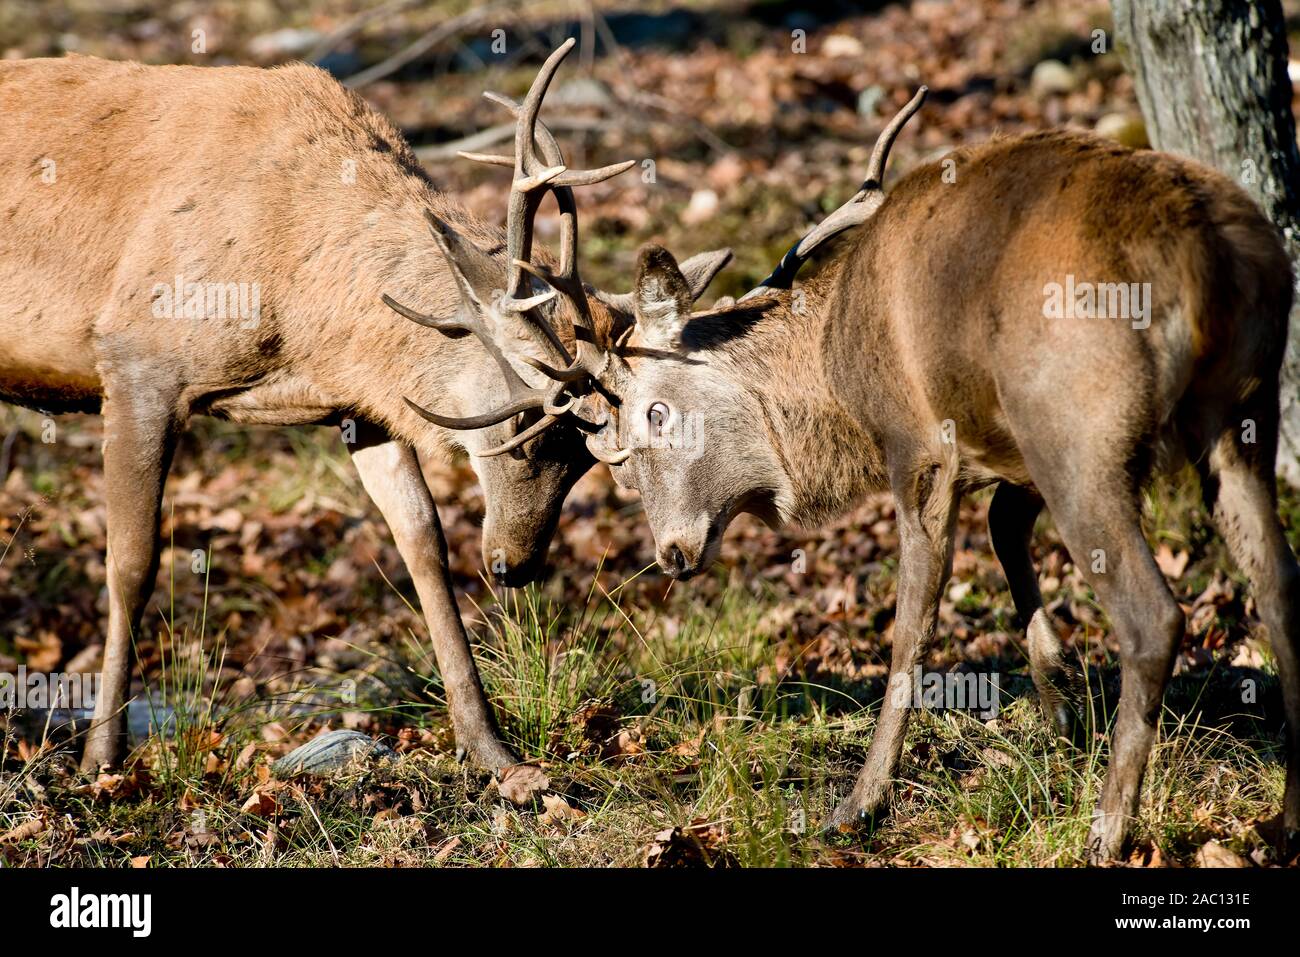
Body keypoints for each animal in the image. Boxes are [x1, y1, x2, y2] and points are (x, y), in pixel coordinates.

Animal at [0, 40, 730, 782]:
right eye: (526, 424)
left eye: (591, 457)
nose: (514, 567)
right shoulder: (136, 360)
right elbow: (131, 564)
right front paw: (102, 759)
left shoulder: (365, 409)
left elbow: (423, 544)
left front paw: (492, 752)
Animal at [428, 84, 1300, 862]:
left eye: (655, 414)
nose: (671, 552)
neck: (833, 369)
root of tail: (1213, 256)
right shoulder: (1003, 441)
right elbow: (1005, 530)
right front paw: (1056, 707)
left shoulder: (920, 444)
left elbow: (912, 624)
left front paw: (859, 802)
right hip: (1238, 412)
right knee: (1281, 585)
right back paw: (1285, 819)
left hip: (1081, 421)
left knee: (1154, 616)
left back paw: (1109, 831)